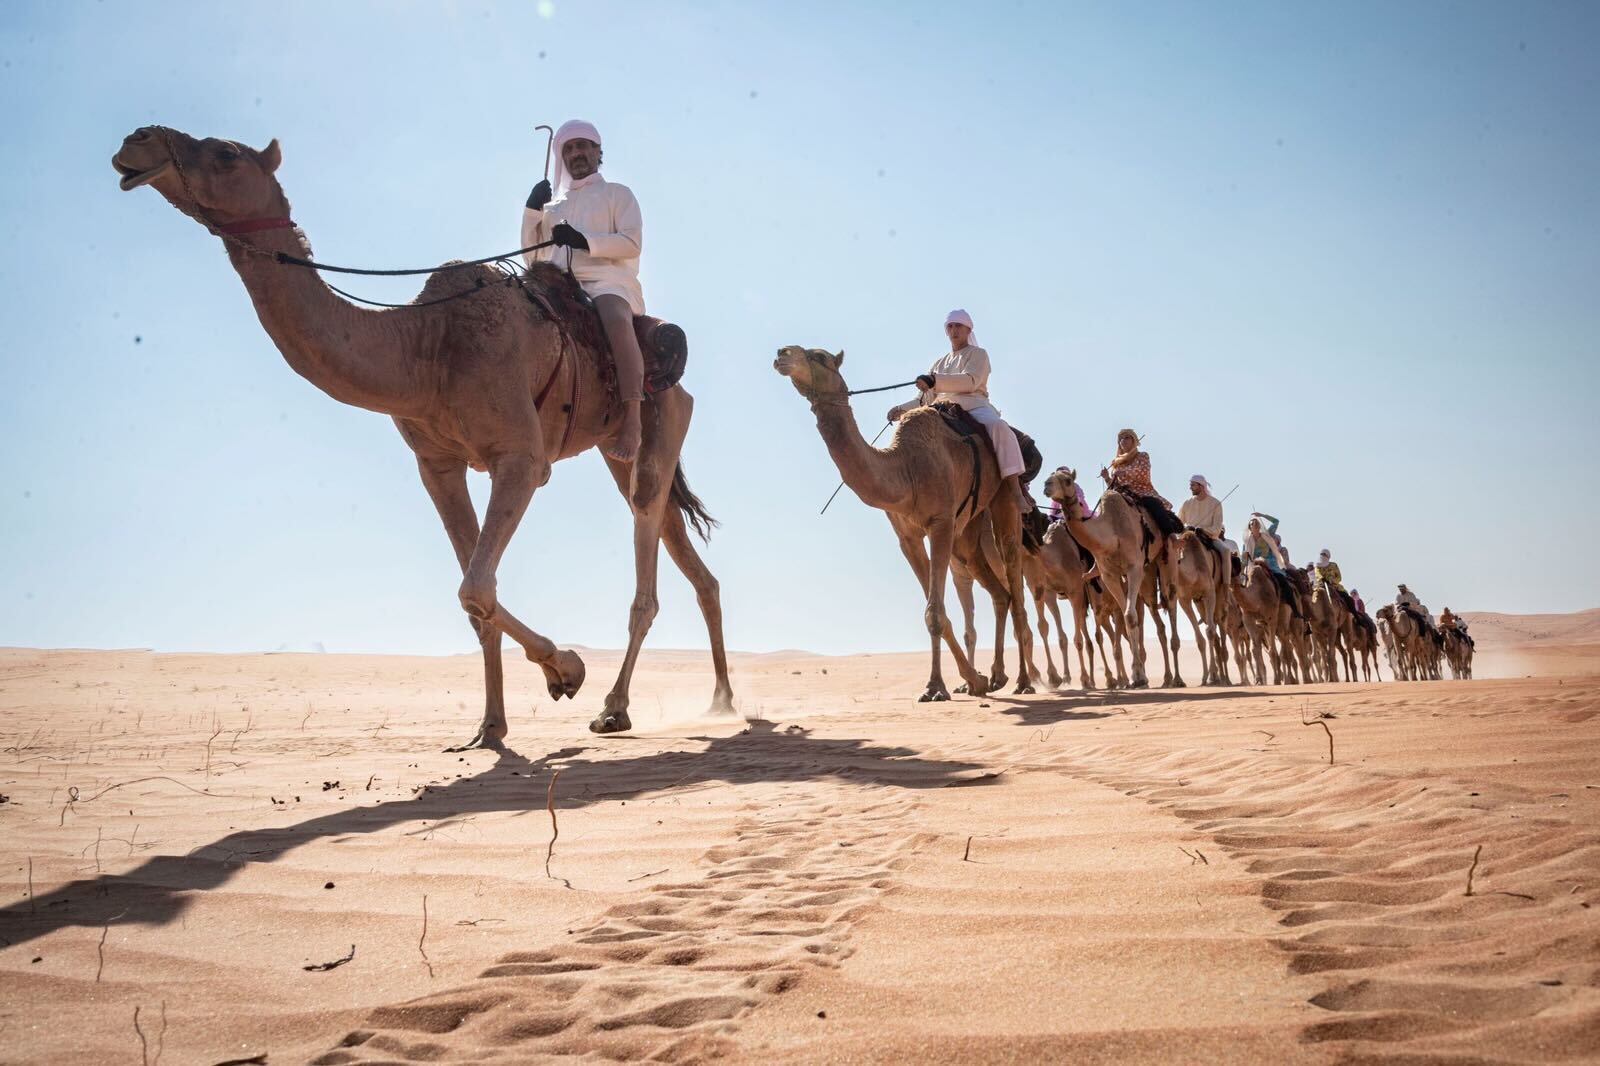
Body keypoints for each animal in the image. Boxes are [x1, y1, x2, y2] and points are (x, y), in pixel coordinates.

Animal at [112, 126, 735, 743]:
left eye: (225, 153)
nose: (136, 142)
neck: (427, 342)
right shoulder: (437, 465)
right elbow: (476, 593)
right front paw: (491, 726)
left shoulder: (520, 458)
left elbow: (475, 588)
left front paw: (568, 669)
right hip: (614, 450)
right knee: (681, 543)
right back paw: (721, 699)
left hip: (659, 411)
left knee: (646, 529)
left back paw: (617, 706)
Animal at [774, 346, 1035, 701]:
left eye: (820, 357)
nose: (781, 353)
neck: (905, 467)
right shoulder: (907, 537)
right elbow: (935, 612)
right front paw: (969, 681)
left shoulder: (940, 524)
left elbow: (935, 612)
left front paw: (937, 686)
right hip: (968, 531)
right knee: (999, 593)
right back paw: (997, 677)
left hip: (1003, 498)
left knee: (1014, 582)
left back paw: (1024, 681)